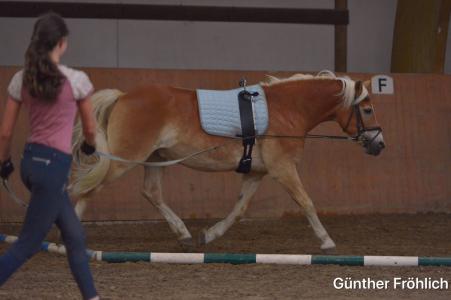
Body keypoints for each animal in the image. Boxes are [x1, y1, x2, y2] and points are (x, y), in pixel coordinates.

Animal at [70, 71, 384, 251]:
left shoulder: (257, 173)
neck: (288, 109)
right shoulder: (283, 169)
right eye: (368, 110)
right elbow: (306, 202)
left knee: (151, 192)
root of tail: (123, 96)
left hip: (154, 158)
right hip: (125, 159)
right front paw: (326, 240)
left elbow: (239, 209)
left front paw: (210, 235)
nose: (379, 144)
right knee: (86, 189)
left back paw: (184, 234)